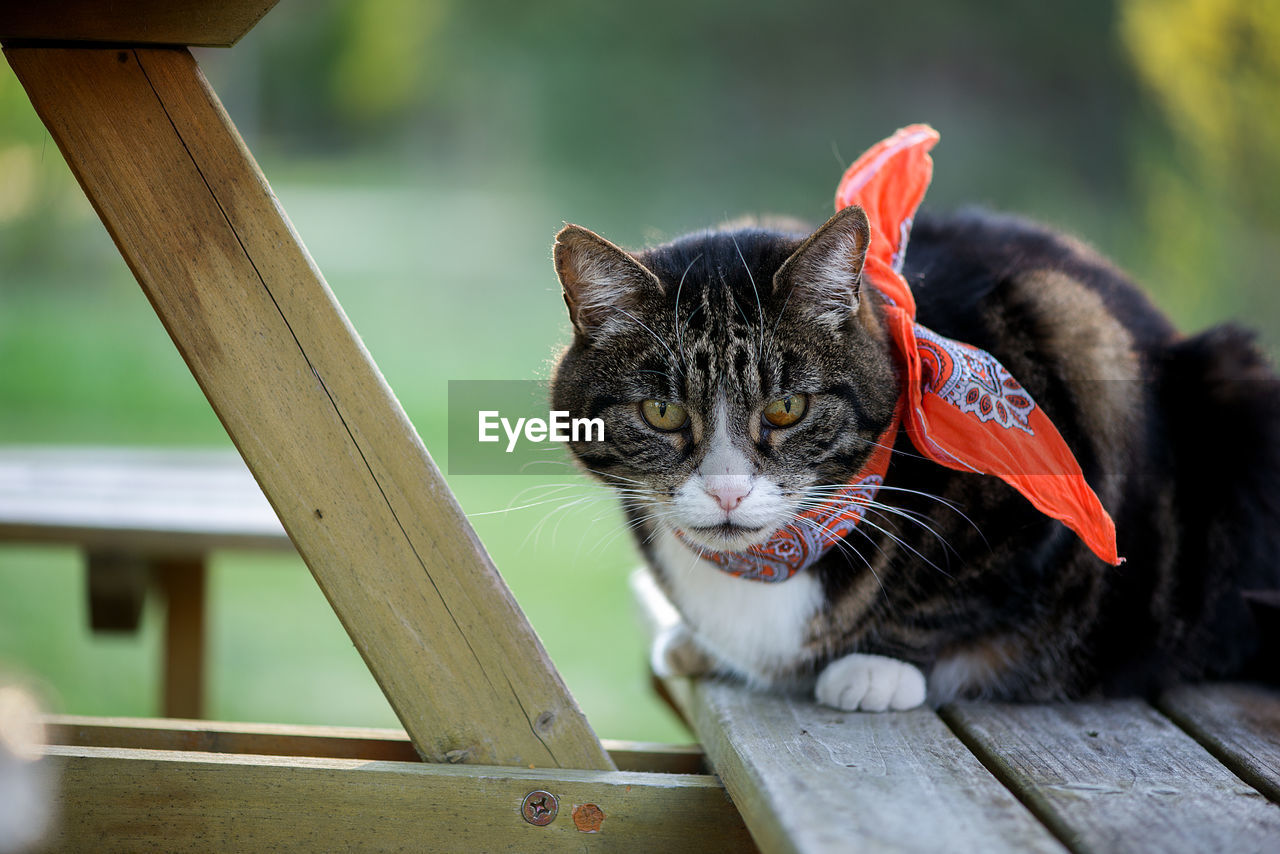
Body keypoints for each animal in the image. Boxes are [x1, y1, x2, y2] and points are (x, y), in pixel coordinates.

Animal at [547, 188, 1280, 717]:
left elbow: (971, 590)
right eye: (661, 412)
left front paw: (879, 668)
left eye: (787, 408)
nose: (727, 491)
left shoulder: (1063, 356)